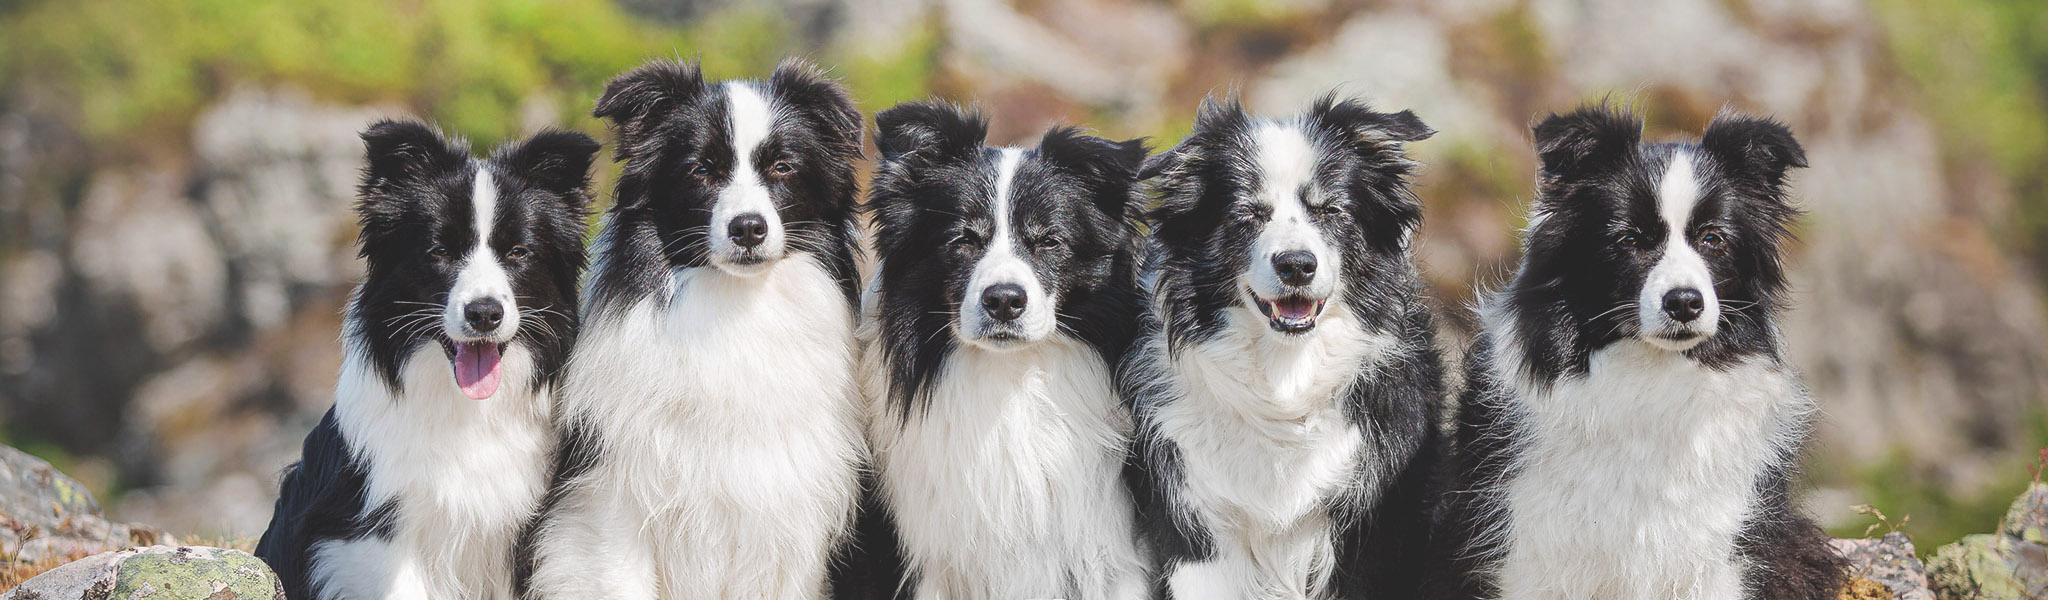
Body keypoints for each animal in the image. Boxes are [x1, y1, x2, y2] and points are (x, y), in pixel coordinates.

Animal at [860, 100, 1155, 593]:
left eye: (1049, 240)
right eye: (963, 240)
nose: (1003, 301)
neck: (1011, 375)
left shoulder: (1113, 556)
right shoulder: (931, 563)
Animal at [1130, 95, 1449, 593]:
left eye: (1330, 210)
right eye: (1248, 214)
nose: (1296, 265)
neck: (1283, 379)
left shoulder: (1369, 530)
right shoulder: (1194, 523)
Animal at [1425, 106, 1859, 597]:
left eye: (1713, 239)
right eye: (1629, 240)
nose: (1685, 302)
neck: (1651, 371)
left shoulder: (1717, 542)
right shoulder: (1530, 535)